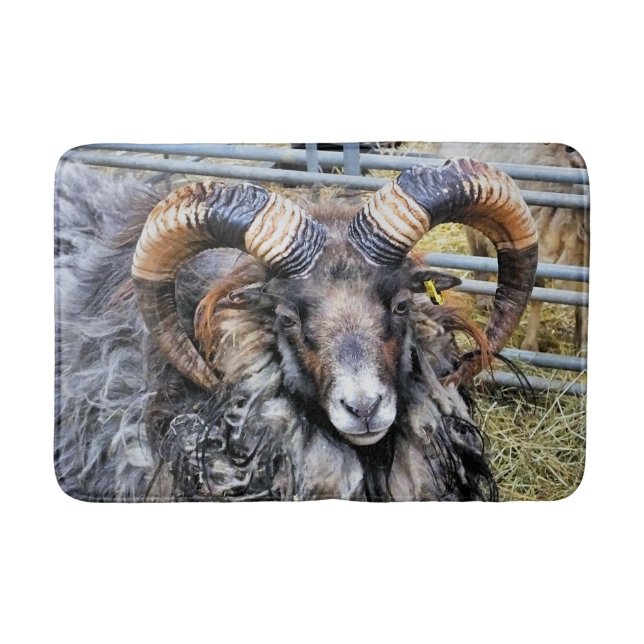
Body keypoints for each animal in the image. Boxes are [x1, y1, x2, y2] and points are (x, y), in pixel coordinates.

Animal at [417, 143, 588, 353]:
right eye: (568, 149)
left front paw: (582, 341)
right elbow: (538, 292)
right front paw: (530, 345)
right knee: (478, 253)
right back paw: (484, 300)